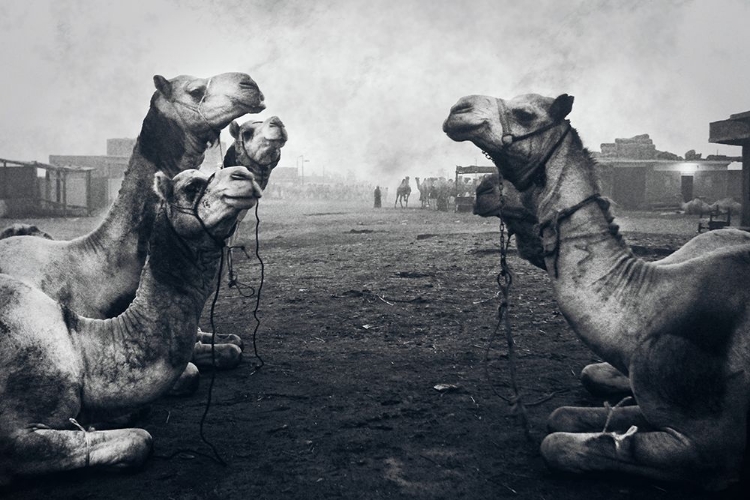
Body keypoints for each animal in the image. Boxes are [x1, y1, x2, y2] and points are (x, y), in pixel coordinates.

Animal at [446, 92, 750, 490]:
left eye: (524, 114)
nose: (457, 110)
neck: (649, 300)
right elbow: (562, 415)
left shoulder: (708, 446)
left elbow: (557, 444)